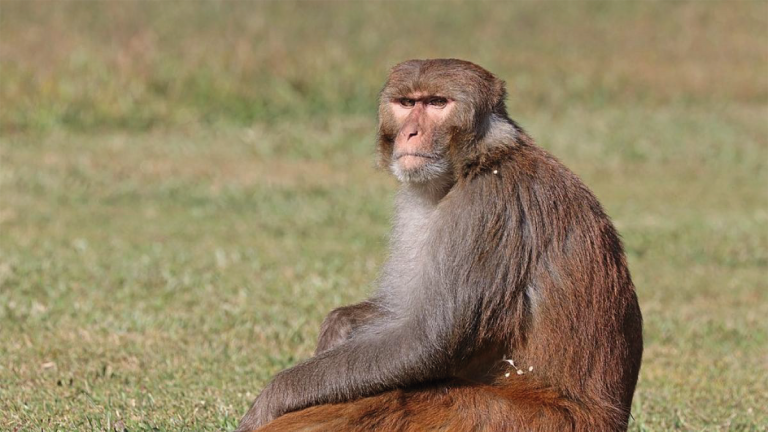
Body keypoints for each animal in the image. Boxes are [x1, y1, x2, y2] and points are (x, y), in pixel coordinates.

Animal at [236, 59, 643, 431]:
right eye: (406, 103)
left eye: (436, 103)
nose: (411, 133)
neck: (474, 163)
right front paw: (338, 325)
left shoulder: (486, 209)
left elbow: (426, 341)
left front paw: (273, 398)